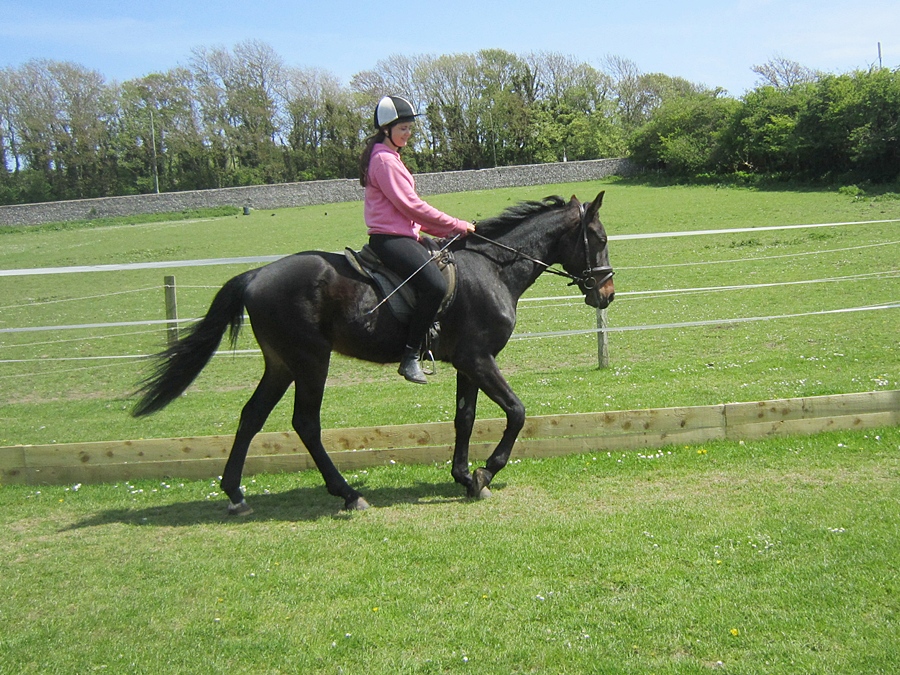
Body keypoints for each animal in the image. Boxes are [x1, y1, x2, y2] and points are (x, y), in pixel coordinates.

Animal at [132, 192, 615, 513]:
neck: (493, 269)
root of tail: (256, 275)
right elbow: (516, 411)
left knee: (252, 416)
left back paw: (235, 493)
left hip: (282, 363)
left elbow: (465, 418)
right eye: (598, 237)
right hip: (311, 360)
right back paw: (348, 494)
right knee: (306, 423)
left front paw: (464, 476)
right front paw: (485, 472)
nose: (606, 293)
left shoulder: (468, 362)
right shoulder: (479, 360)